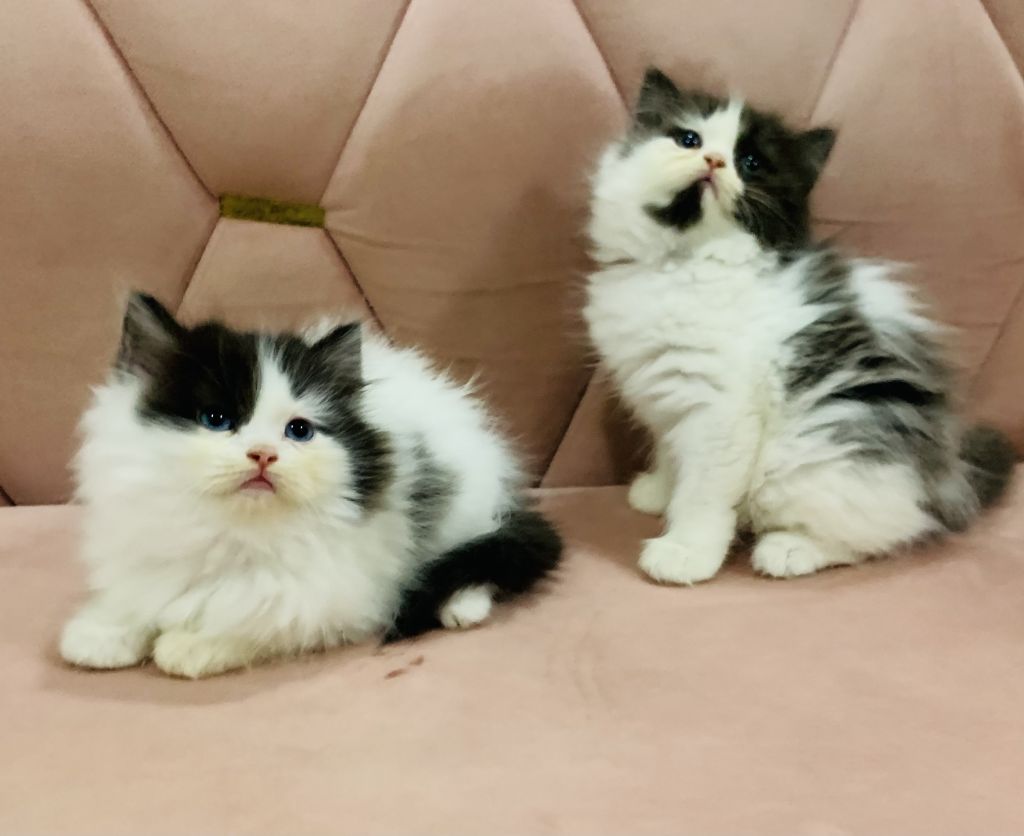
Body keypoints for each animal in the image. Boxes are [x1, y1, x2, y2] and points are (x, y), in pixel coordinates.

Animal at [60, 293, 561, 678]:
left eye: (299, 430)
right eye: (216, 419)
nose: (263, 454)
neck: (232, 533)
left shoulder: (338, 593)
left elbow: (263, 617)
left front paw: (190, 645)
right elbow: (142, 594)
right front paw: (101, 633)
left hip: (463, 509)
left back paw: (462, 606)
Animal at [583, 67, 1015, 585]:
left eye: (750, 163)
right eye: (688, 139)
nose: (713, 160)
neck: (683, 262)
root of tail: (945, 474)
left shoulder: (721, 412)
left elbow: (702, 492)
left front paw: (686, 551)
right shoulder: (664, 398)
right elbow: (670, 453)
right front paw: (657, 492)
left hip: (816, 458)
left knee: (885, 532)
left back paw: (789, 550)